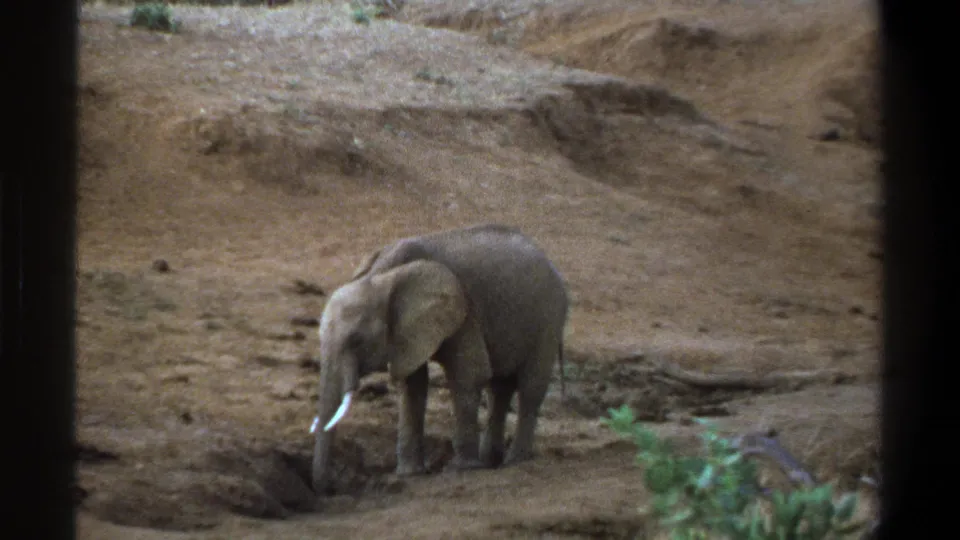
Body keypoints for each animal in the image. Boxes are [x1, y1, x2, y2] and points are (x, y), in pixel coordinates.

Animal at [309, 223, 569, 494]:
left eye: (357, 340)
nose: (331, 487)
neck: (381, 275)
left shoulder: (464, 311)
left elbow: (468, 374)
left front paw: (461, 469)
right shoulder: (407, 331)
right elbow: (413, 385)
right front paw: (409, 474)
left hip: (549, 319)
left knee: (530, 387)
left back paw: (515, 460)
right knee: (499, 388)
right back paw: (491, 461)